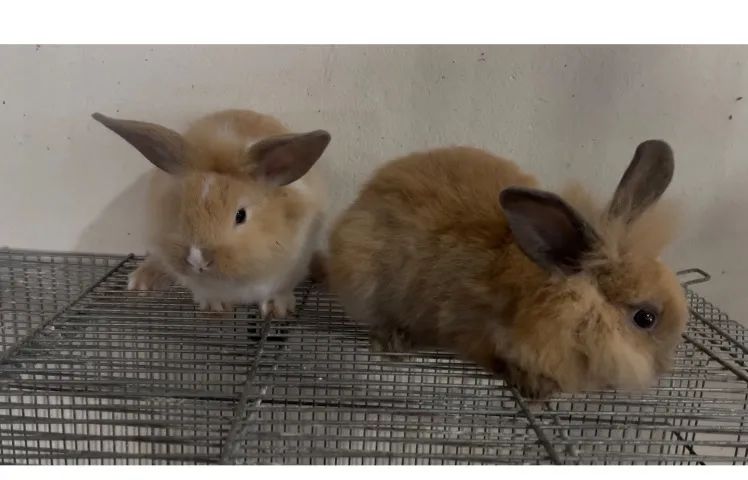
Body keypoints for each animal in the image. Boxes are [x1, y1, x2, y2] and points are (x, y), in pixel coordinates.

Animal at [92, 109, 330, 318]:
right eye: (181, 208)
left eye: (240, 215)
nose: (198, 259)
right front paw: (216, 307)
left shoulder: (291, 268)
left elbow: (279, 292)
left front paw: (277, 309)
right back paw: (141, 282)